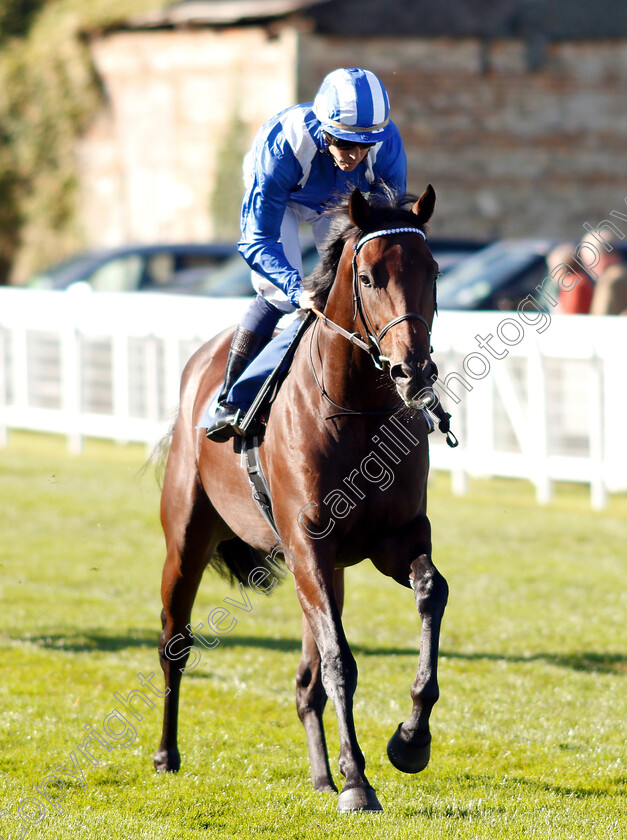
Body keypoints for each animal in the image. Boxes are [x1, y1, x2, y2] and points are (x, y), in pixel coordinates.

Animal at [155, 185, 448, 812]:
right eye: (367, 276)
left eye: (433, 270)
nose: (412, 370)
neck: (357, 409)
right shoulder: (306, 544)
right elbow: (340, 660)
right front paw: (359, 782)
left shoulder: (394, 539)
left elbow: (430, 594)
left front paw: (410, 740)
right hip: (187, 539)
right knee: (175, 642)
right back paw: (166, 754)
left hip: (326, 569)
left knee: (305, 682)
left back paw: (321, 775)